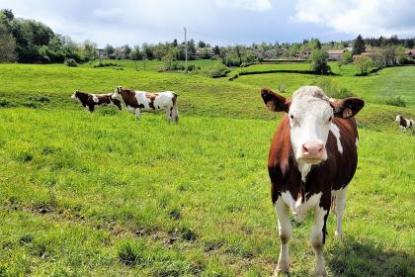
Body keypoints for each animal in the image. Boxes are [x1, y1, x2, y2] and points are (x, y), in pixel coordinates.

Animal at [262, 85, 366, 274]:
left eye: (330, 117)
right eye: (291, 116)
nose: (312, 149)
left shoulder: (324, 197)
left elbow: (317, 240)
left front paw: (319, 271)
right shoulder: (276, 193)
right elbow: (284, 234)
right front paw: (282, 267)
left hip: (343, 185)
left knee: (340, 209)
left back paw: (339, 235)